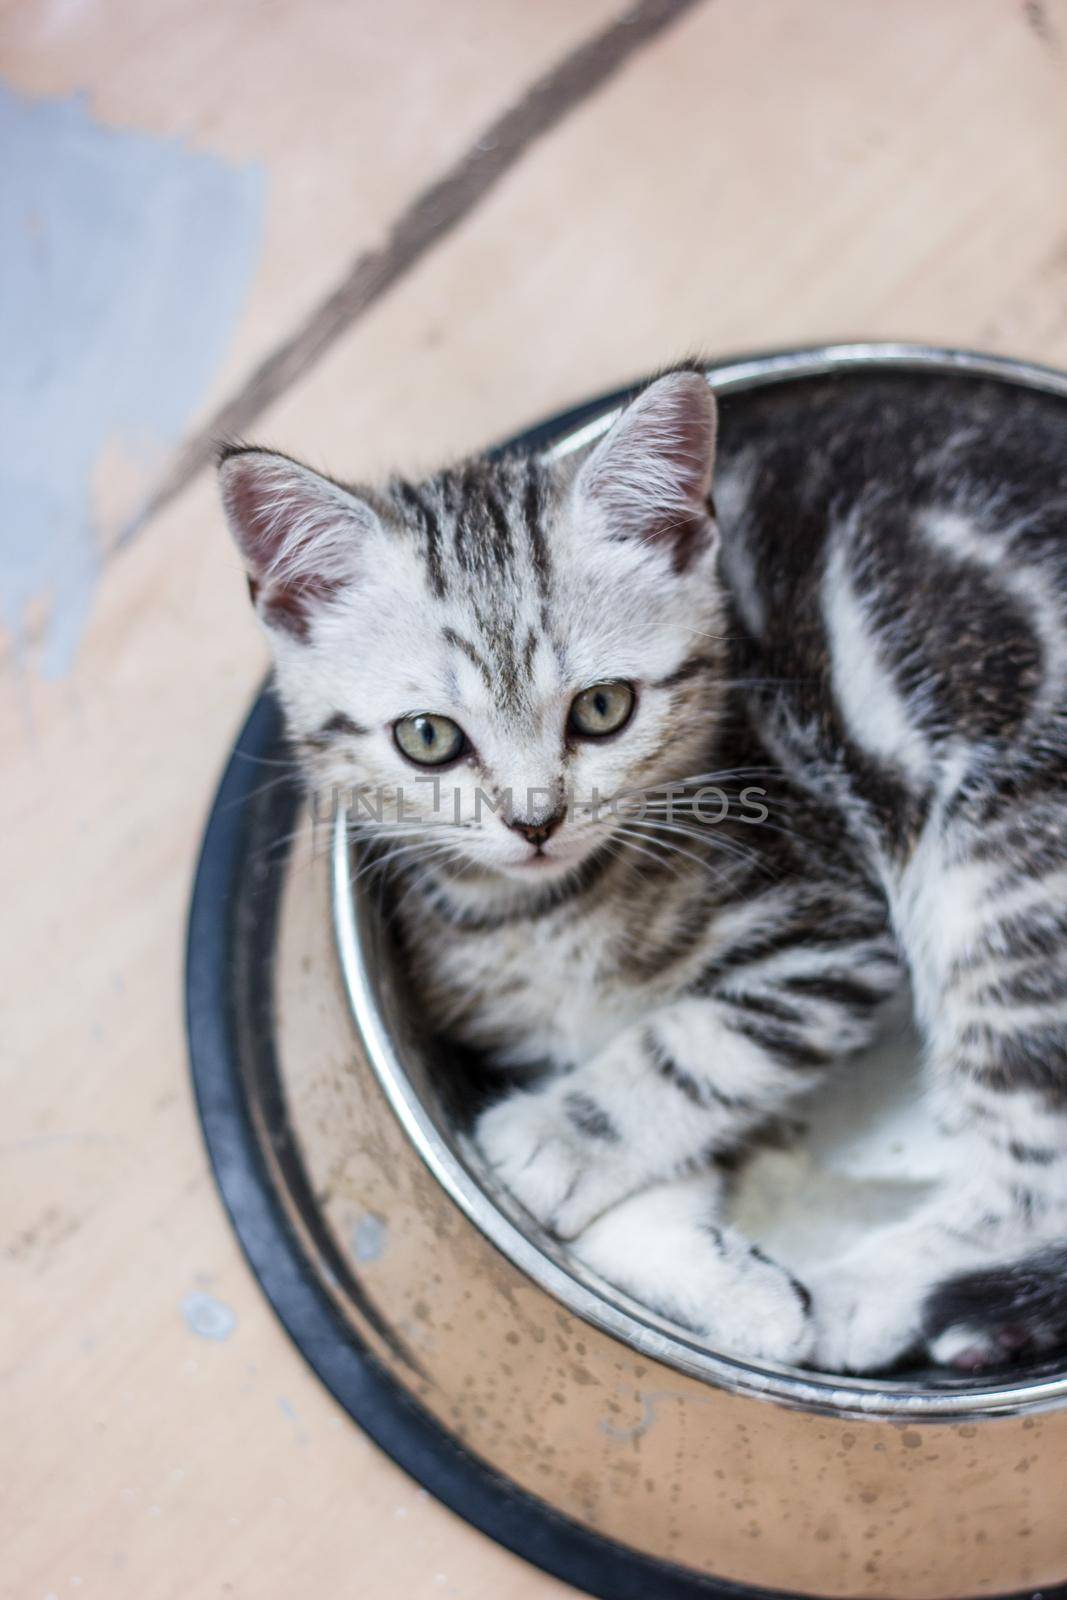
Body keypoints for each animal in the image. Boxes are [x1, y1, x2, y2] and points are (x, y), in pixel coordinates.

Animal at [220, 368, 1067, 1369]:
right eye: (427, 738)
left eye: (602, 708)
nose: (535, 820)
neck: (543, 910)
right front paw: (734, 1295)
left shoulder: (824, 932)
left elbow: (695, 1050)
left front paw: (551, 1140)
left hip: (1002, 875)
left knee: (1037, 1175)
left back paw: (866, 1295)